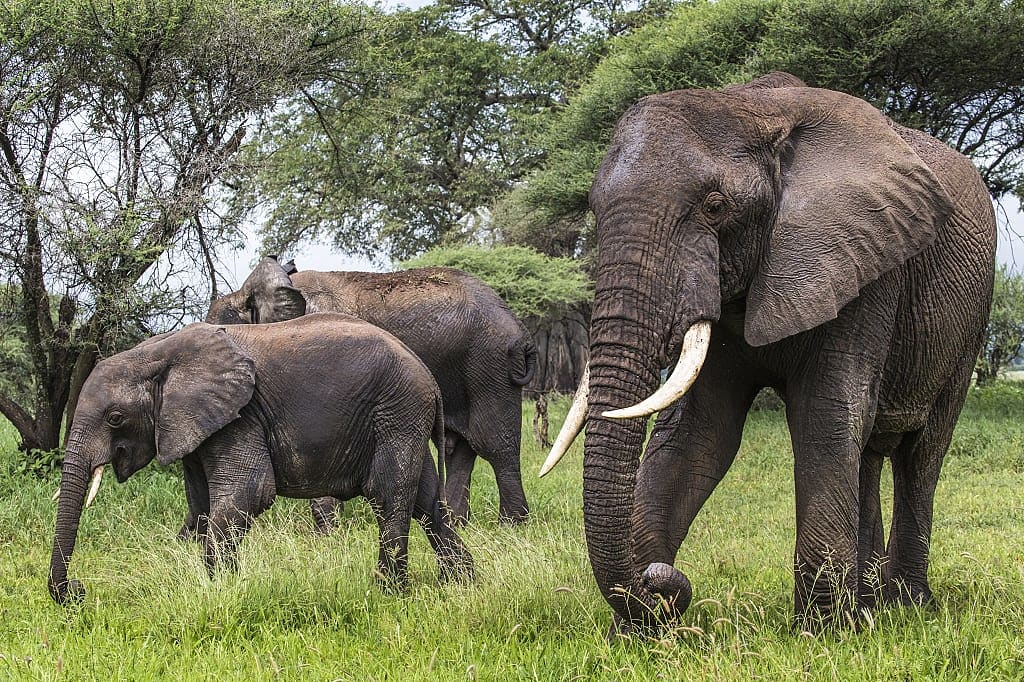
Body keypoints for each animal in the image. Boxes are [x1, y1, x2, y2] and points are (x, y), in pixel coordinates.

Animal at [48, 313, 473, 605]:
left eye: (115, 418)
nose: (78, 592)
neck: (157, 352)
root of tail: (428, 377)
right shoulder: (194, 424)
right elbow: (201, 506)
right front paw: (222, 587)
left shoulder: (241, 416)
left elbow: (248, 493)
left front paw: (221, 591)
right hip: (404, 417)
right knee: (426, 502)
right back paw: (462, 583)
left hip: (396, 411)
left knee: (389, 495)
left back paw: (389, 593)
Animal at [201, 258, 537, 527]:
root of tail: (521, 332)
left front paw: (327, 535)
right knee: (459, 446)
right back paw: (458, 522)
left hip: (489, 364)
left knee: (494, 443)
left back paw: (511, 526)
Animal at [542, 72, 996, 633]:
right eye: (594, 209)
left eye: (715, 207)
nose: (662, 579)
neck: (754, 107)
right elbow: (701, 431)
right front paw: (644, 633)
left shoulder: (863, 263)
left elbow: (825, 414)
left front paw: (822, 632)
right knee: (868, 453)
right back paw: (870, 605)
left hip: (968, 323)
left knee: (922, 453)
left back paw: (907, 606)